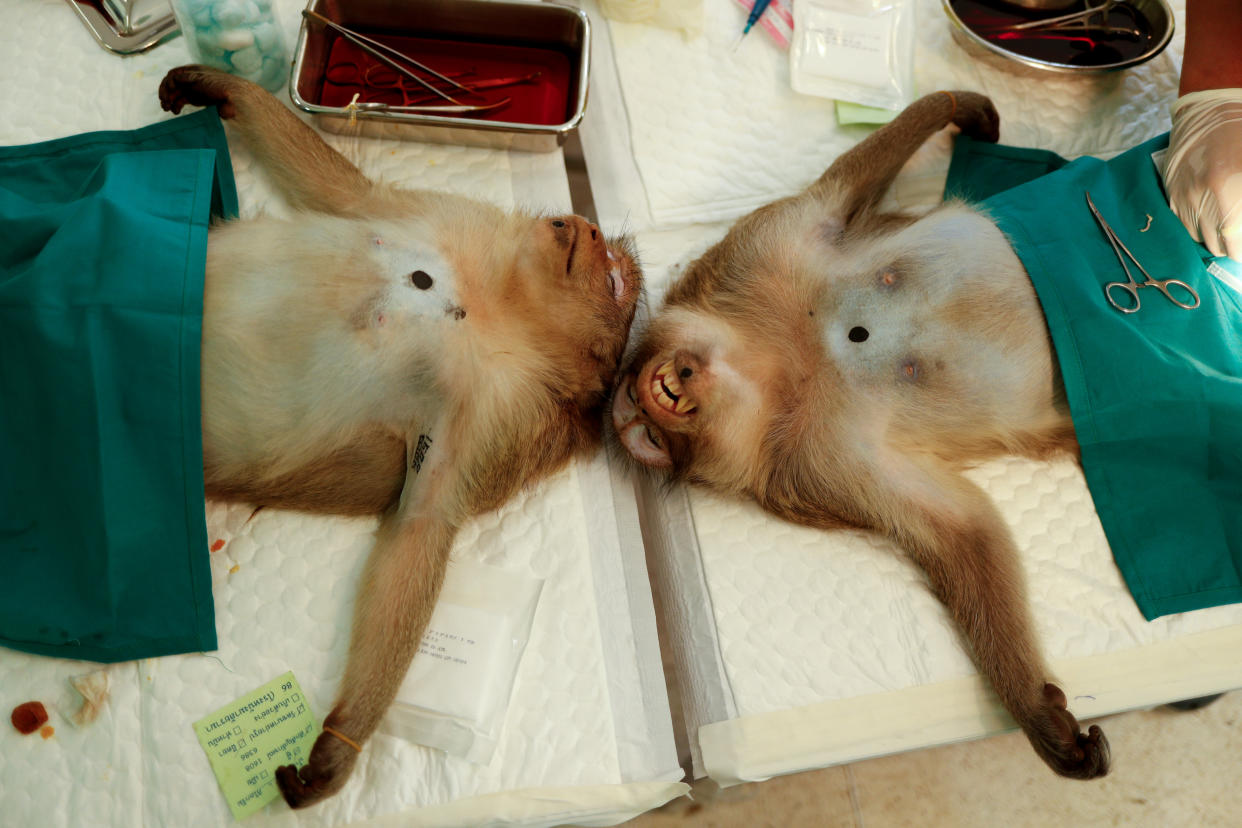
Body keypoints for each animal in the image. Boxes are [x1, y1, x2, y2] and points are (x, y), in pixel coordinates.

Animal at [155, 66, 640, 809]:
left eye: (612, 277)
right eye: (600, 253)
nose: (582, 223)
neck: (492, 304)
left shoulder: (499, 413)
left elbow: (421, 524)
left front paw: (339, 745)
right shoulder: (450, 218)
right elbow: (352, 195)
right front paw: (222, 87)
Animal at [616, 92, 1112, 784]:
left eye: (653, 400)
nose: (670, 382)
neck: (787, 364)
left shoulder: (760, 253)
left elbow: (842, 191)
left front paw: (961, 107)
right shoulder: (815, 462)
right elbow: (964, 531)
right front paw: (1041, 718)